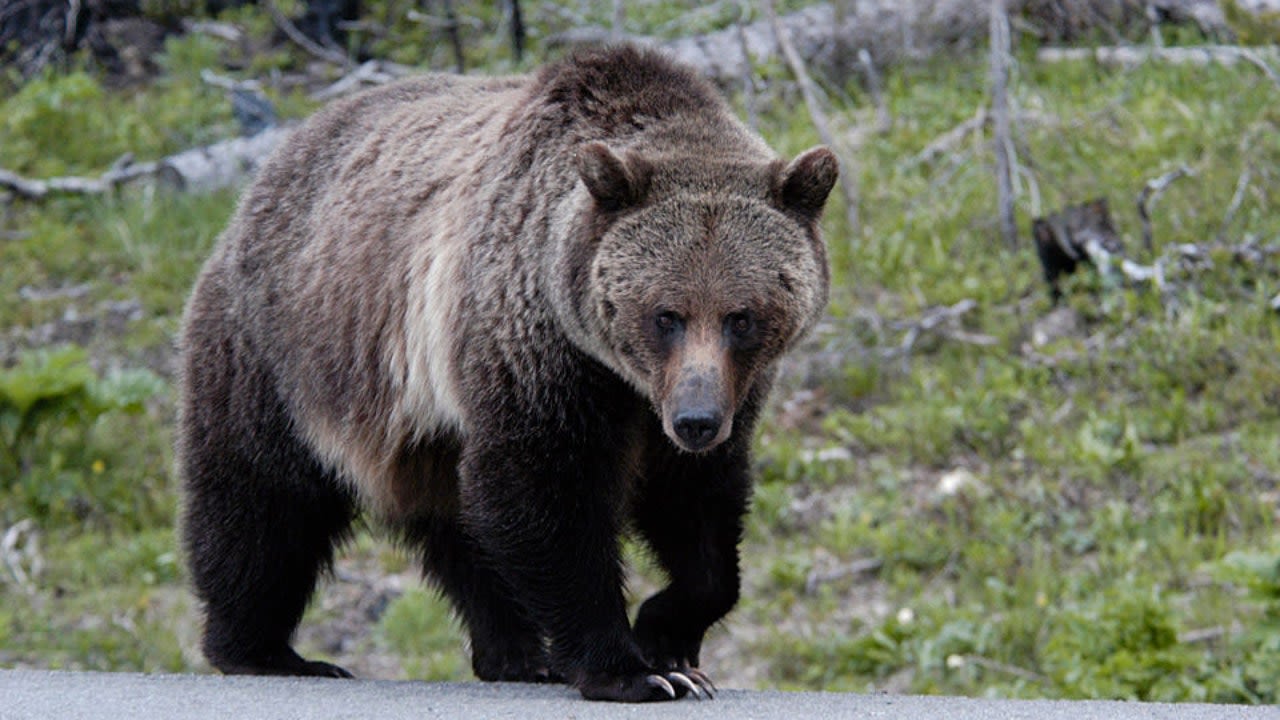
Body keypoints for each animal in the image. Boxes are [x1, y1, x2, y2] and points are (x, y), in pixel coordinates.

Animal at [180, 44, 839, 702]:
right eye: (665, 315)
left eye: (741, 317)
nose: (695, 421)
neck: (623, 376)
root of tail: (272, 166)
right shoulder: (538, 349)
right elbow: (544, 489)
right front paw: (633, 670)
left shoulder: (724, 391)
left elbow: (699, 506)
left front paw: (669, 640)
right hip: (280, 350)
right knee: (262, 500)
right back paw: (264, 650)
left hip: (422, 424)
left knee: (456, 525)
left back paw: (516, 654)